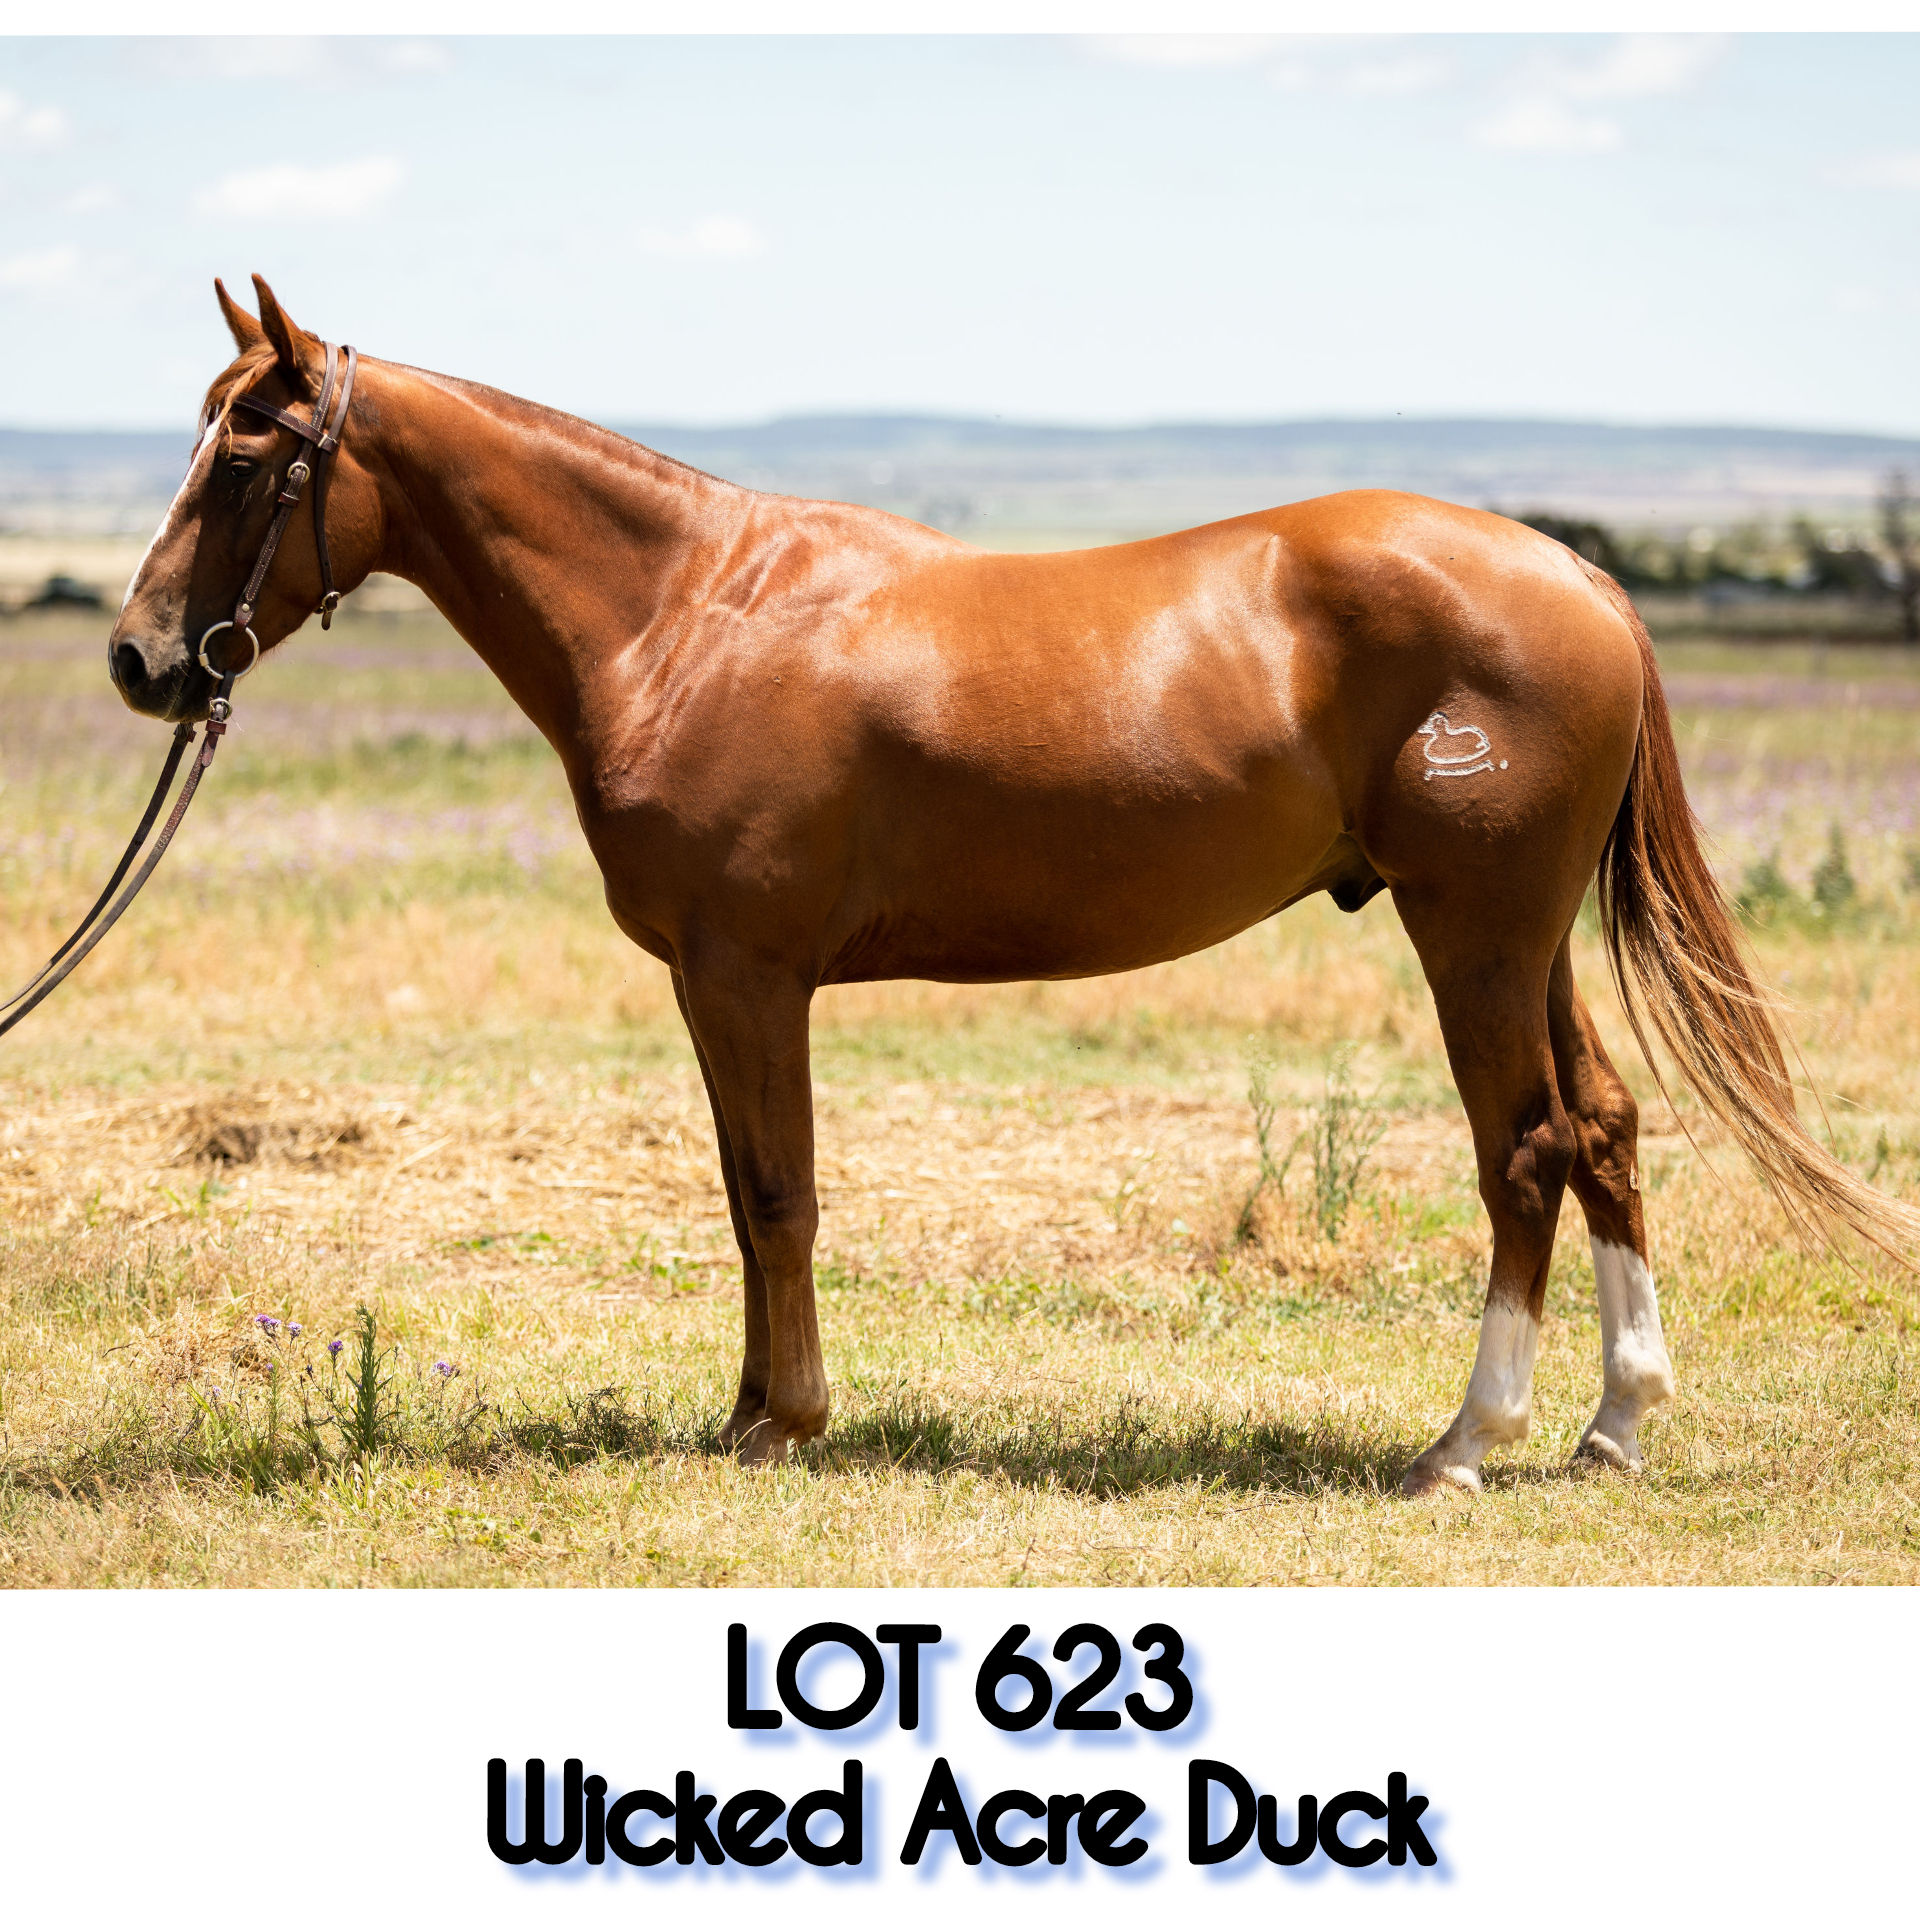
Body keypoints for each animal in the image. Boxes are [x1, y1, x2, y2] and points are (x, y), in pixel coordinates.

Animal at [106, 275, 1916, 1494]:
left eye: (250, 457)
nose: (141, 661)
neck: (689, 612)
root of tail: (1586, 584)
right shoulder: (717, 981)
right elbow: (744, 1189)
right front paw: (752, 1409)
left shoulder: (746, 972)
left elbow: (780, 1194)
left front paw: (785, 1422)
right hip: (1522, 936)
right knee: (1602, 1126)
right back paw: (1613, 1423)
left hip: (1470, 932)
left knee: (1526, 1149)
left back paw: (1468, 1442)